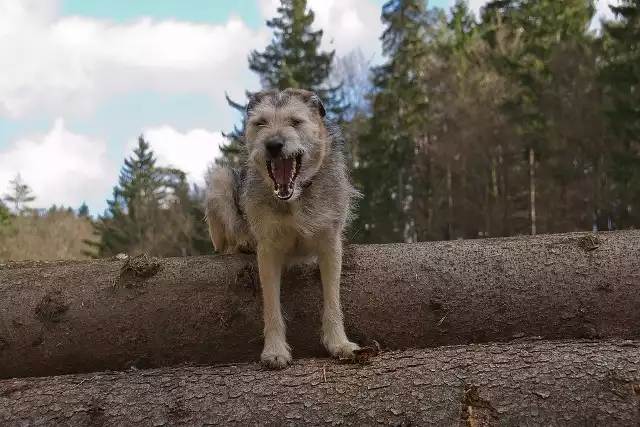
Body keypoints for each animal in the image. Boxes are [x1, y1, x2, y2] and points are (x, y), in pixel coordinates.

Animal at [208, 88, 362, 370]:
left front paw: (339, 343)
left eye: (295, 122)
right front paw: (275, 350)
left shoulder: (330, 246)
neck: (296, 197)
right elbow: (271, 306)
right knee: (225, 244)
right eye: (260, 123)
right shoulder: (268, 251)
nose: (273, 144)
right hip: (220, 180)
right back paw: (242, 243)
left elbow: (333, 299)